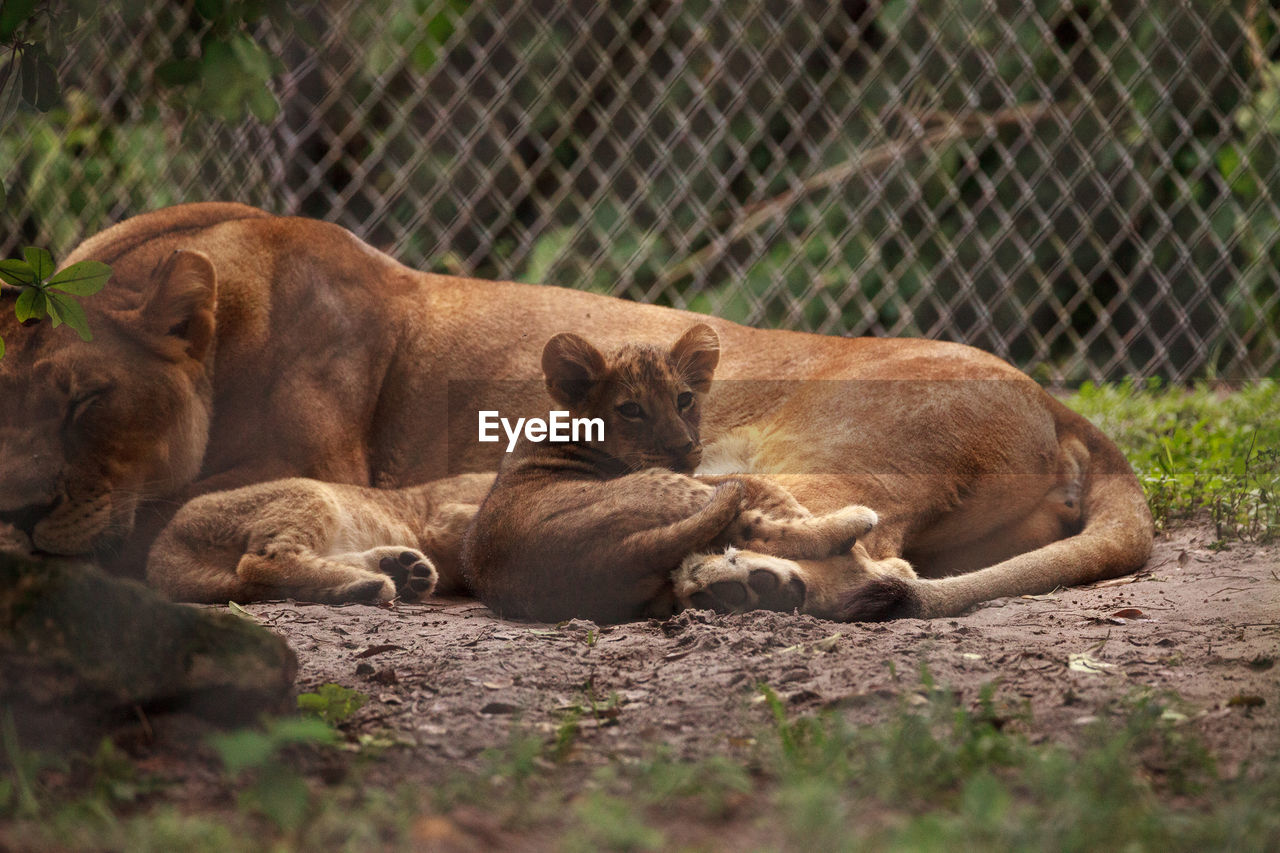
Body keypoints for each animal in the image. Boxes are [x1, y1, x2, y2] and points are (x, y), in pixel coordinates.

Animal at [146, 471, 488, 604]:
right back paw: (380, 581)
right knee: (261, 563)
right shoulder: (446, 519)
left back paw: (399, 570)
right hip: (311, 492)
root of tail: (162, 545)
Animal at [460, 322, 890, 622]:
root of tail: (604, 557)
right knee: (760, 531)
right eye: (631, 409)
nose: (683, 446)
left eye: (684, 399)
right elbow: (760, 486)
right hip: (671, 490)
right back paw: (850, 525)